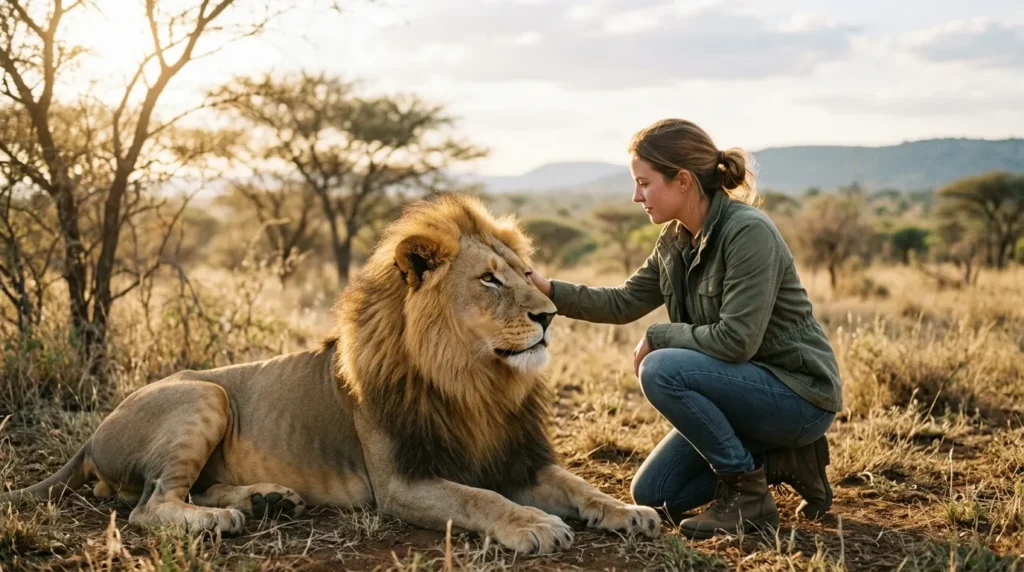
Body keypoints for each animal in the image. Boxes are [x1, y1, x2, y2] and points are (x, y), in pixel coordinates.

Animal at [1, 193, 660, 553]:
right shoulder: (401, 482)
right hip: (204, 395)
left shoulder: (517, 456)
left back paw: (265, 499)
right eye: (489, 280)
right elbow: (479, 498)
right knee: (148, 506)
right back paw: (221, 520)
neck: (474, 383)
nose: (548, 314)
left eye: (526, 273)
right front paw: (535, 524)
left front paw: (629, 512)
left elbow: (578, 485)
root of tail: (92, 435)